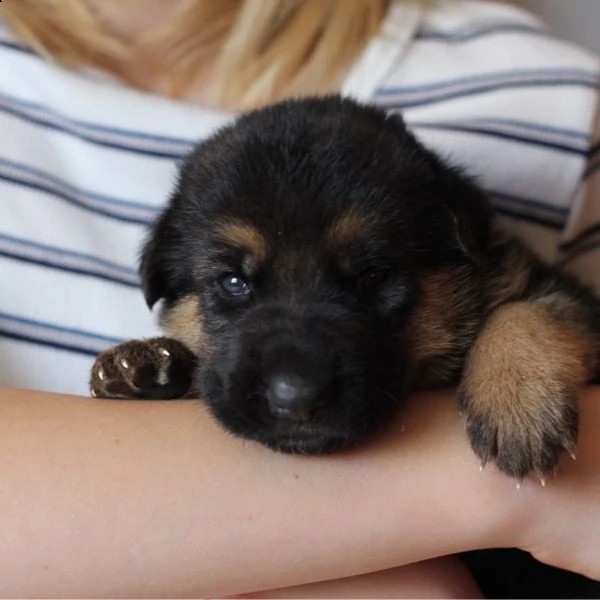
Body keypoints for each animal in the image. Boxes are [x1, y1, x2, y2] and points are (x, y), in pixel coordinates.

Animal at [90, 96, 600, 480]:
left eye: (371, 278)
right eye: (233, 282)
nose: (294, 399)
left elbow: (525, 313)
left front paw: (518, 402)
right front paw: (148, 366)